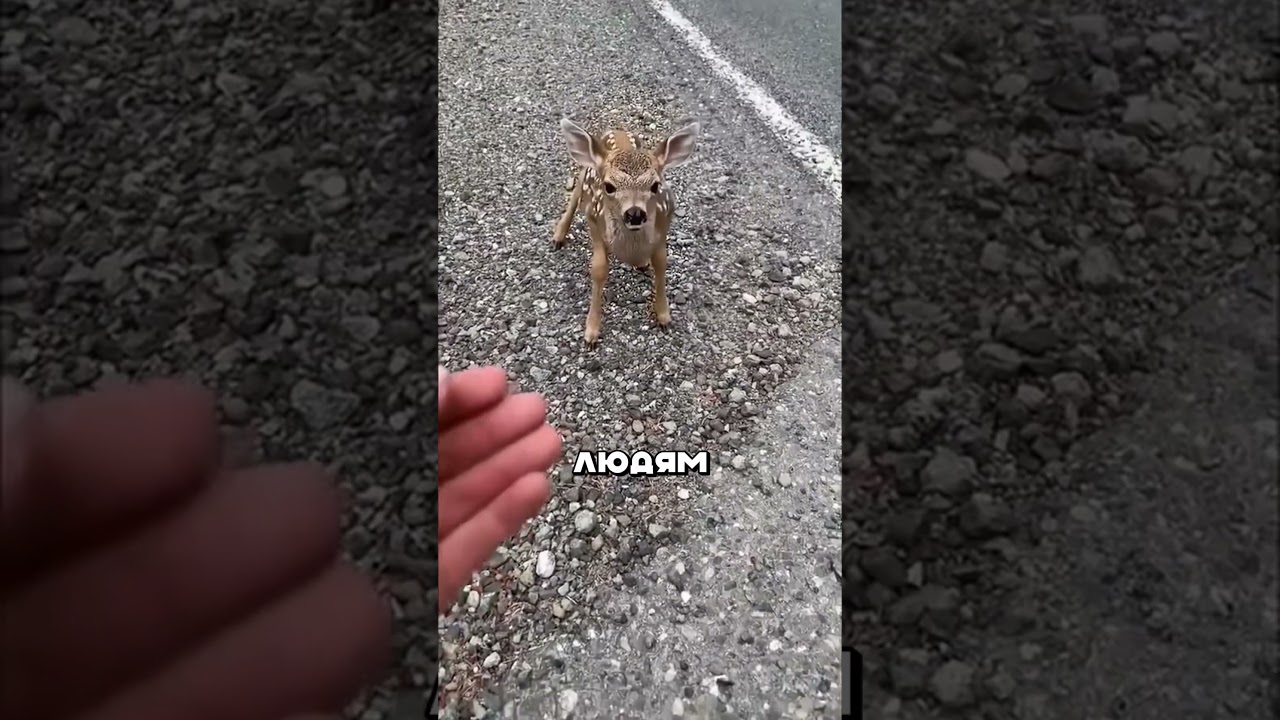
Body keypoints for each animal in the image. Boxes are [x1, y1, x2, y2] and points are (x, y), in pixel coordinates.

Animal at [552, 117, 700, 347]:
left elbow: (661, 264)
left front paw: (664, 316)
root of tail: (617, 130)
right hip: (585, 170)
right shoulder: (593, 219)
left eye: (655, 185)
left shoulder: (665, 223)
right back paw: (558, 236)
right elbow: (599, 269)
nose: (635, 213)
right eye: (609, 186)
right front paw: (591, 332)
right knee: (575, 194)